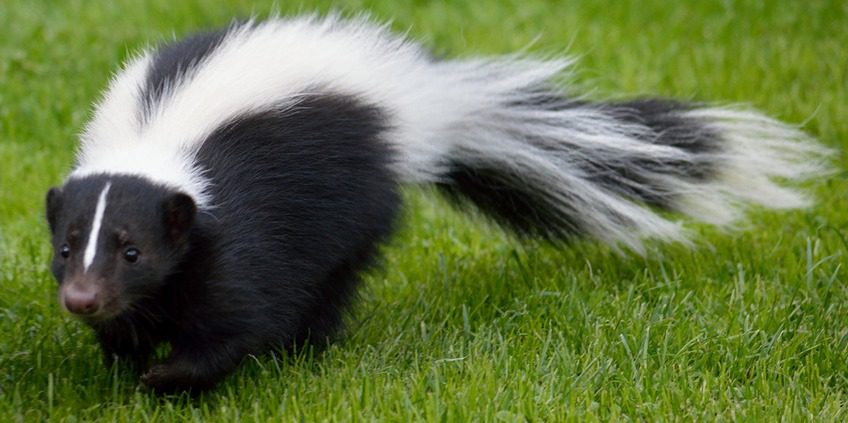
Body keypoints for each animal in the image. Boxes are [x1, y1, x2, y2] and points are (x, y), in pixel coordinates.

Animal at [44, 16, 828, 394]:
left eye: (134, 249)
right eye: (66, 246)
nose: (82, 297)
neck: (155, 142)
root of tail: (417, 104)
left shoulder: (240, 222)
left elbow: (239, 314)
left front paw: (169, 375)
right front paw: (126, 356)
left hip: (356, 197)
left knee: (333, 279)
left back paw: (309, 347)